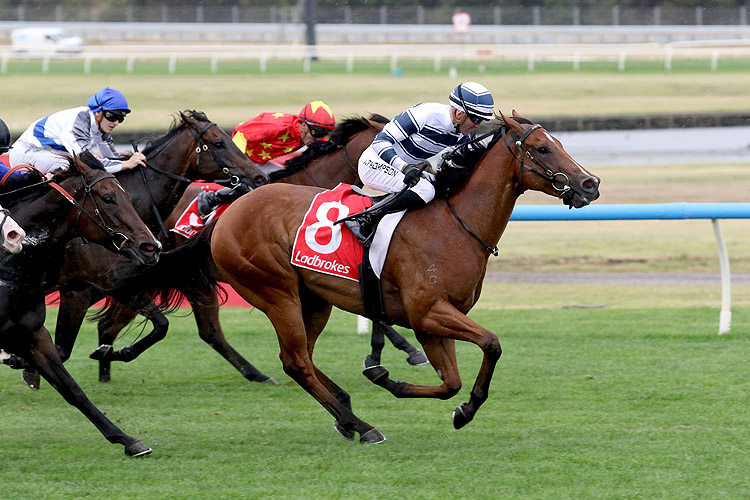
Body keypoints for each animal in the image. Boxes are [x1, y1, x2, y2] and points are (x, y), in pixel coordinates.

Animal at [0, 151, 162, 458]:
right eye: (108, 198)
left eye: (126, 195)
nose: (151, 247)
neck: (10, 267)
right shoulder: (77, 292)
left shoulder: (32, 333)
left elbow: (72, 389)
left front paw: (128, 440)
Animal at [89, 114, 424, 382]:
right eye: (406, 146)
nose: (421, 173)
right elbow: (374, 310)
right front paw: (403, 350)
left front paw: (389, 351)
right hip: (192, 279)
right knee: (186, 328)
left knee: (118, 323)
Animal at [125, 112, 604, 442]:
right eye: (542, 148)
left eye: (558, 142)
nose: (590, 183)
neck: (454, 223)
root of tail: (225, 218)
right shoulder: (430, 312)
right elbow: (491, 343)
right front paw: (450, 402)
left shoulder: (432, 320)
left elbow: (450, 383)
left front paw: (404, 384)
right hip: (276, 292)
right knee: (295, 361)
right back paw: (359, 422)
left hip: (313, 299)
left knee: (302, 359)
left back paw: (346, 411)